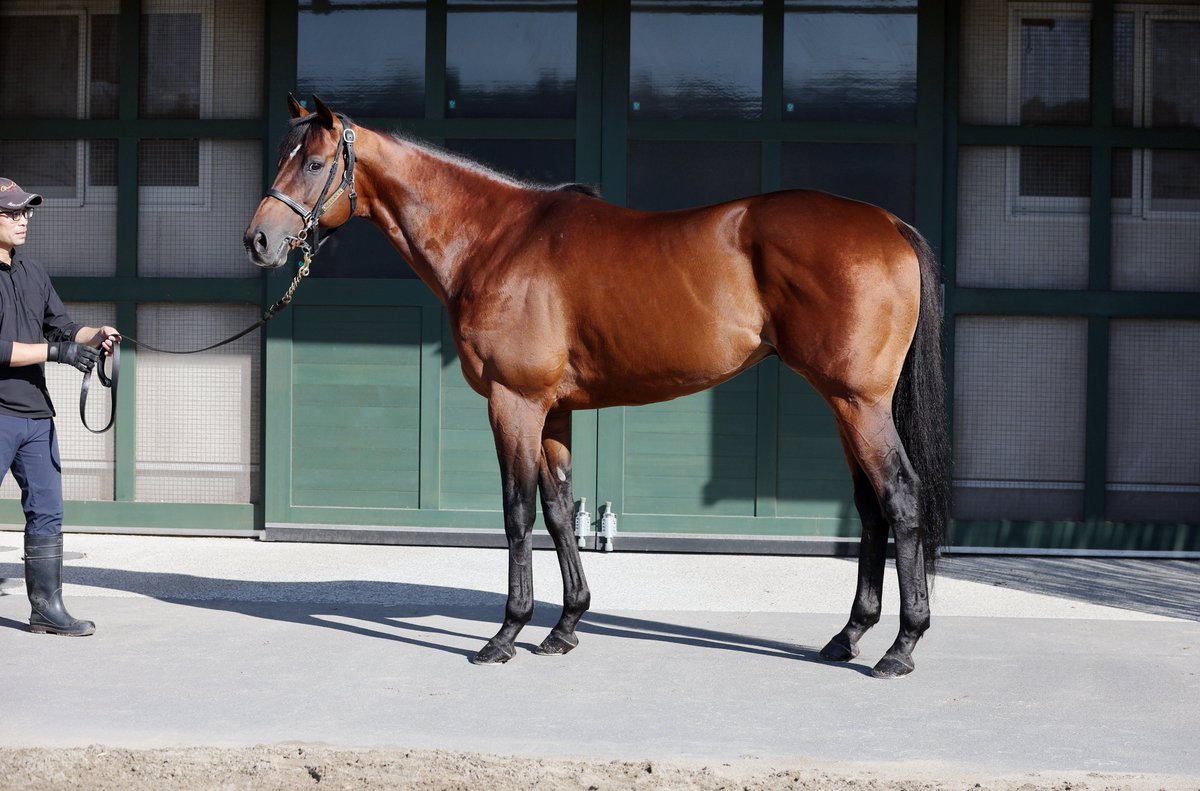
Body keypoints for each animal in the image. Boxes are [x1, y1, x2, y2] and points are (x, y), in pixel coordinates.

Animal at [245, 96, 950, 678]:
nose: (259, 240)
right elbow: (559, 509)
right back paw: (848, 636)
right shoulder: (553, 411)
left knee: (900, 495)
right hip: (844, 404)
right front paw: (565, 626)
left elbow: (517, 514)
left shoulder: (514, 404)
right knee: (869, 505)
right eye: (282, 157)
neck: (494, 240)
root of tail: (889, 225)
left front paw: (505, 636)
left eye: (313, 163)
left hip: (858, 404)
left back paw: (900, 647)